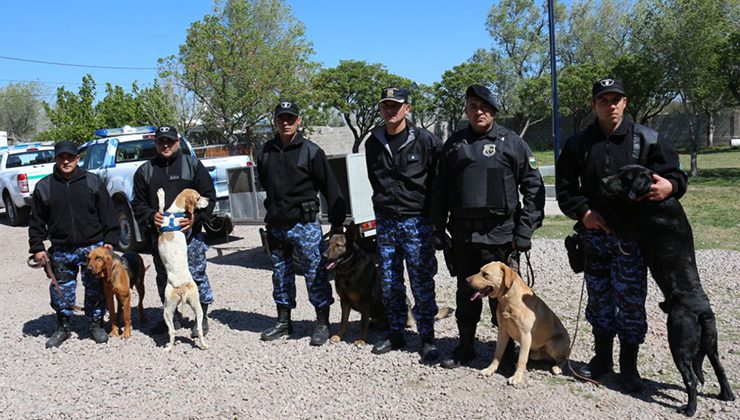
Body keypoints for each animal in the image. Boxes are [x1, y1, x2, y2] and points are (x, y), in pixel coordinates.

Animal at [158, 188, 210, 352]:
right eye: (198, 197)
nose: (208, 200)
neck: (176, 212)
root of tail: (182, 289)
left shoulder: (160, 220)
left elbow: (160, 206)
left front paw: (160, 194)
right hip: (196, 306)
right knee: (198, 328)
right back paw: (203, 345)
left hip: (167, 309)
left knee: (172, 331)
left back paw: (168, 348)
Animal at [600, 162, 736, 416]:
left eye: (625, 177)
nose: (603, 181)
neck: (656, 199)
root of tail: (700, 311)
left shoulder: (625, 224)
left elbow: (611, 211)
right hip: (711, 344)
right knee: (719, 368)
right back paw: (727, 395)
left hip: (679, 342)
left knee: (691, 379)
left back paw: (690, 408)